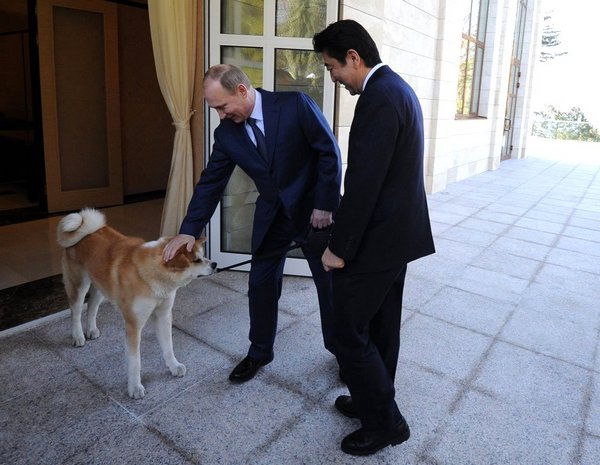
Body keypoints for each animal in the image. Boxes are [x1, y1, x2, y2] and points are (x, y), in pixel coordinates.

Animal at [57, 208, 217, 396]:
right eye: (197, 260)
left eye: (204, 256)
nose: (215, 264)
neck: (152, 275)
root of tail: (85, 226)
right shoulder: (133, 324)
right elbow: (135, 362)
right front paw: (134, 387)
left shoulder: (163, 315)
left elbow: (168, 346)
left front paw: (174, 366)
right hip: (79, 284)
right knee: (75, 312)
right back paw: (78, 336)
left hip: (100, 285)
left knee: (92, 306)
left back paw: (91, 329)